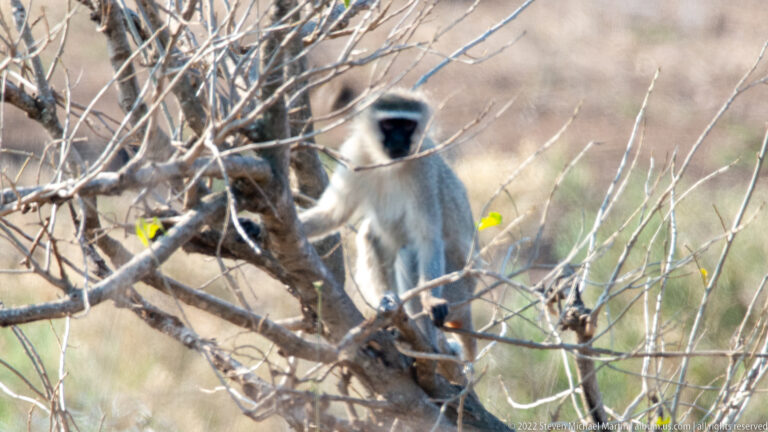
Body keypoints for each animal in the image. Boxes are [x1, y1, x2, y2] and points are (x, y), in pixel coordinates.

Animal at [299, 88, 477, 361]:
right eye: (390, 124)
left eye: (408, 125)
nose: (398, 141)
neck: (388, 164)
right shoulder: (356, 153)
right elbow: (333, 214)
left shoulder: (422, 166)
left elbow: (427, 239)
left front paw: (430, 300)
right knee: (368, 234)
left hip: (457, 288)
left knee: (408, 252)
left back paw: (426, 344)